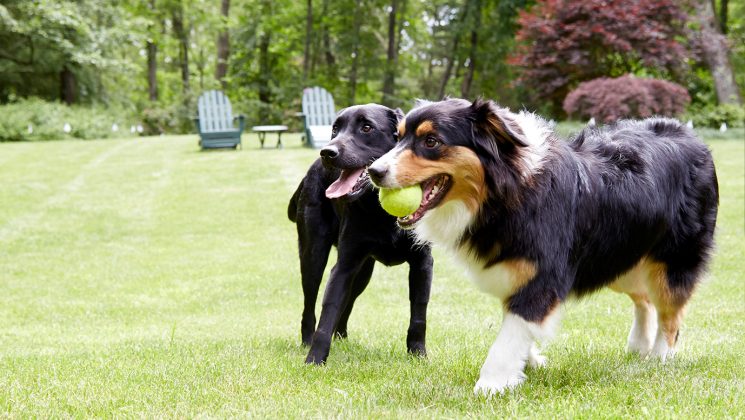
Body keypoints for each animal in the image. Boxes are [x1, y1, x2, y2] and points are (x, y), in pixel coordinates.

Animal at [288, 102, 434, 364]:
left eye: (367, 127)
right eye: (335, 129)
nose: (327, 152)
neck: (381, 211)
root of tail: (309, 172)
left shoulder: (422, 263)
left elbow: (419, 313)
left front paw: (418, 354)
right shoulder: (344, 265)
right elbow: (328, 309)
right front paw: (315, 358)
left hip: (364, 271)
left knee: (349, 301)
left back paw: (341, 337)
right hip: (314, 256)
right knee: (310, 302)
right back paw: (307, 340)